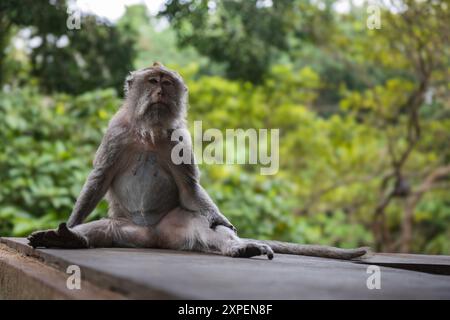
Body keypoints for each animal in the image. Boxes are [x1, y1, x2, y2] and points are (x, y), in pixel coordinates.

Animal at [26, 62, 368, 260]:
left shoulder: (180, 139)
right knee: (104, 230)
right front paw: (71, 223)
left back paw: (239, 247)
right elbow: (99, 177)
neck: (149, 132)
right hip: (126, 229)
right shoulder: (116, 132)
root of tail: (153, 238)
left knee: (202, 224)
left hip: (174, 227)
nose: (161, 92)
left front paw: (222, 221)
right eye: (153, 82)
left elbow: (191, 189)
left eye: (167, 83)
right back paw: (69, 238)